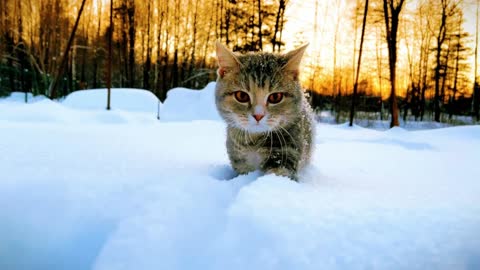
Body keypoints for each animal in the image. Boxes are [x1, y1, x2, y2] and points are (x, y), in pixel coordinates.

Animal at [215, 41, 316, 181]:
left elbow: (279, 173)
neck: (254, 142)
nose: (258, 115)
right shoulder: (239, 157)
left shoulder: (287, 150)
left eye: (275, 97)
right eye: (242, 96)